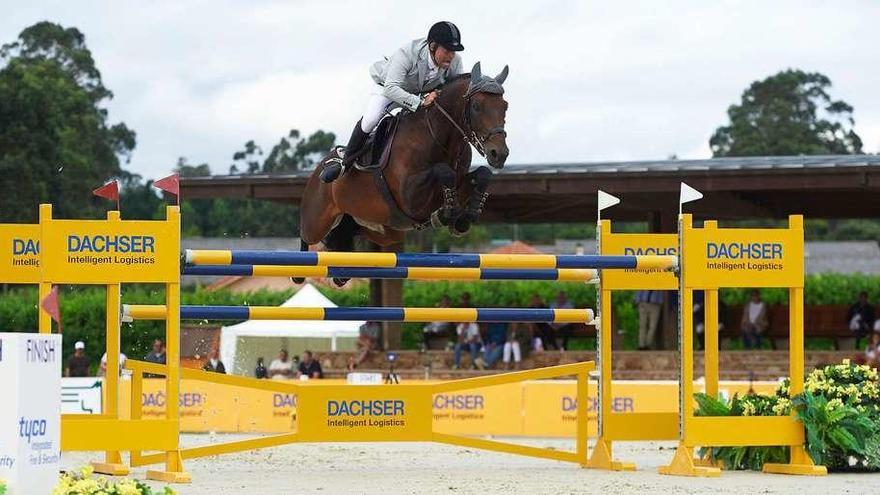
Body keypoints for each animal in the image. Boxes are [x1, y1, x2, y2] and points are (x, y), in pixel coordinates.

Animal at [300, 62, 512, 286]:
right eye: (477, 106)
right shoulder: (410, 197)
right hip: (316, 220)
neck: (438, 138)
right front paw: (444, 214)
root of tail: (317, 171)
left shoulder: (459, 181)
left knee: (349, 232)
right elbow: (443, 171)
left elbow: (482, 174)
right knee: (306, 234)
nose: (499, 154)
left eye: (505, 106)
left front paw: (467, 215)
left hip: (384, 230)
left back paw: (341, 271)